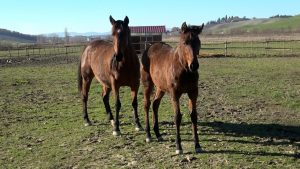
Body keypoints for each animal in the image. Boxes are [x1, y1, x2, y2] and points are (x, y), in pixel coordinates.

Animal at [141, 21, 204, 154]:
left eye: (198, 42)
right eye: (185, 42)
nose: (194, 65)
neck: (183, 69)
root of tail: (150, 47)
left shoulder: (193, 92)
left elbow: (194, 116)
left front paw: (197, 145)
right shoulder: (175, 94)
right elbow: (177, 117)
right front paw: (178, 146)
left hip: (160, 87)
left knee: (155, 104)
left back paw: (158, 134)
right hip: (148, 84)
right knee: (147, 105)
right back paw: (148, 135)